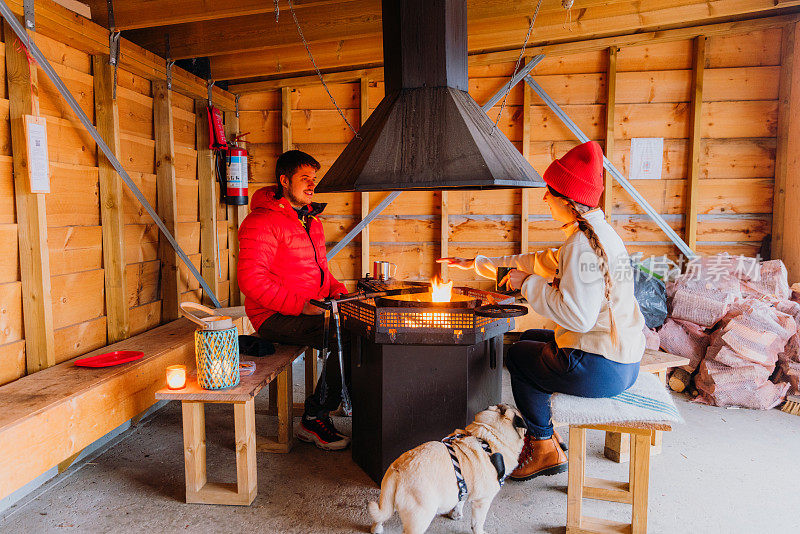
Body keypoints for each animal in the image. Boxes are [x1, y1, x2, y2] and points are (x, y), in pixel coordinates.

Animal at [366, 406, 528, 534]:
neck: (488, 436)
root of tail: (399, 471)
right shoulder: (483, 501)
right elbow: (478, 522)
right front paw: (480, 531)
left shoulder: (462, 485)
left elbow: (460, 500)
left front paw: (455, 514)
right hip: (420, 516)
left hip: (386, 500)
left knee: (380, 517)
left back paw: (377, 529)